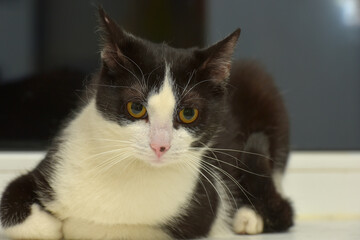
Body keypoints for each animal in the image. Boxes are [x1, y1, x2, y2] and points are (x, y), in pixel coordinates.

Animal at [0, 7, 292, 240]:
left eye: (188, 113)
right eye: (136, 108)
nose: (159, 146)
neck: (128, 171)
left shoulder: (201, 205)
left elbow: (110, 229)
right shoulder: (52, 166)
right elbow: (10, 201)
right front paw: (48, 224)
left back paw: (249, 217)